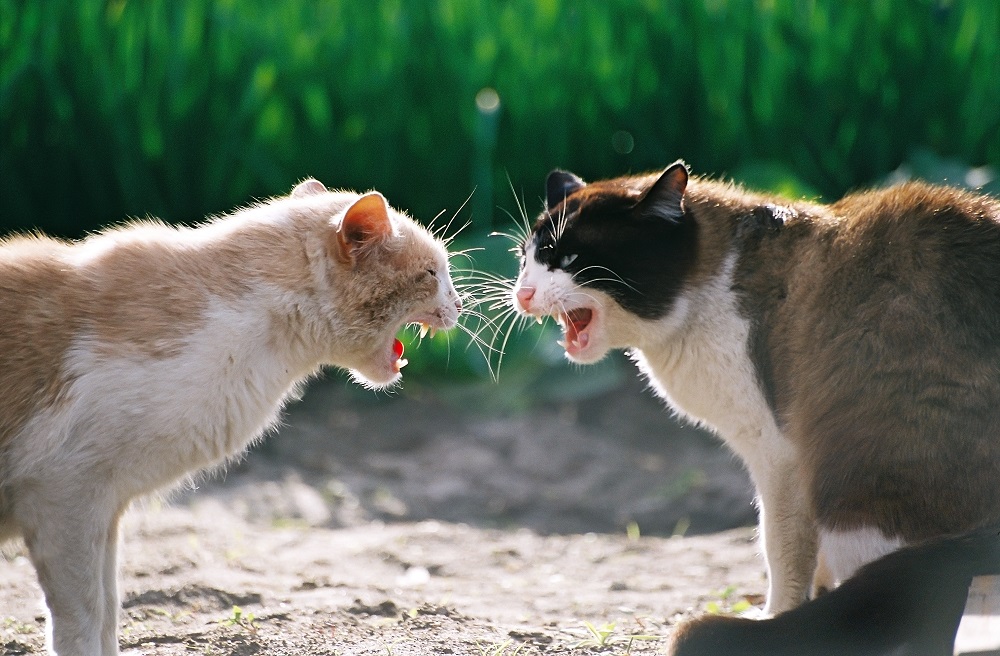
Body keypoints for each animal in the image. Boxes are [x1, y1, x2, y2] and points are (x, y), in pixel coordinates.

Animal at [0, 179, 460, 656]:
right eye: (432, 274)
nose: (460, 303)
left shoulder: (104, 510)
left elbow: (108, 611)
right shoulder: (66, 497)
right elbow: (84, 620)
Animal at [512, 163, 996, 616]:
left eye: (569, 259)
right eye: (524, 260)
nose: (522, 294)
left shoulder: (781, 454)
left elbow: (780, 547)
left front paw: (778, 613)